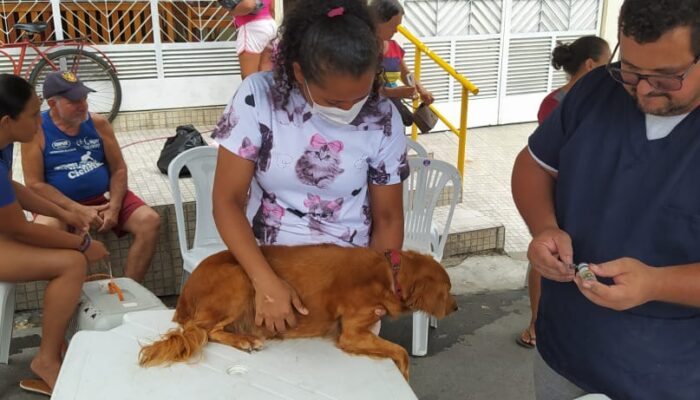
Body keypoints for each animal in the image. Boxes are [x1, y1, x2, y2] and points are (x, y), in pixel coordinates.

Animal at [139, 244, 462, 378]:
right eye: (447, 289)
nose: (456, 307)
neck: (390, 274)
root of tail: (184, 298)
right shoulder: (351, 334)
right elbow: (402, 353)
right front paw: (405, 374)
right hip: (241, 278)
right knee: (205, 330)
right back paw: (245, 340)